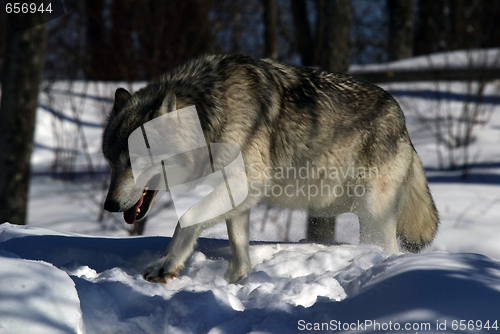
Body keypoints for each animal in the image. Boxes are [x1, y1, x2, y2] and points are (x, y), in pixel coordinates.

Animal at [103, 53, 440, 284]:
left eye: (134, 161)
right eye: (110, 161)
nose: (109, 206)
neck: (211, 114)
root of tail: (402, 122)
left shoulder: (245, 183)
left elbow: (187, 218)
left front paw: (167, 264)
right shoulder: (237, 194)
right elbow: (238, 244)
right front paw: (238, 282)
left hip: (372, 215)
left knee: (390, 249)